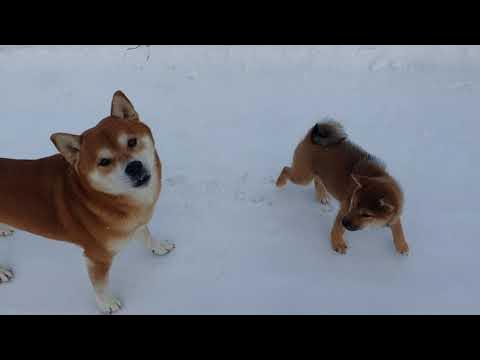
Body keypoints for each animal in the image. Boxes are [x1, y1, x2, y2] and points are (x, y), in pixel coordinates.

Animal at [0, 91, 174, 314]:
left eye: (132, 142)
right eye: (104, 162)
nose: (134, 167)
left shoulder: (136, 223)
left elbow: (145, 234)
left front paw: (158, 247)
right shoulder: (97, 257)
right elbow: (100, 286)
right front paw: (107, 304)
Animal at [276, 119, 406, 255]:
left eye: (366, 215)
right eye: (353, 204)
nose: (345, 222)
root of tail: (312, 134)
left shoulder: (396, 214)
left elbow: (398, 229)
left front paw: (402, 245)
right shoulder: (344, 210)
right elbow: (337, 229)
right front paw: (337, 243)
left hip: (317, 173)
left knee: (318, 180)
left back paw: (322, 196)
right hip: (303, 176)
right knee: (286, 169)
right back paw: (279, 183)